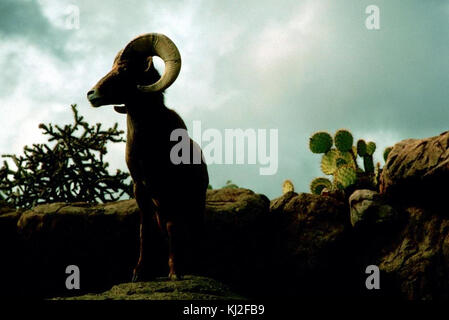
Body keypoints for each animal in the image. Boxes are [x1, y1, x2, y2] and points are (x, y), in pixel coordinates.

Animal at [86, 33, 209, 282]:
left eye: (124, 69)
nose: (91, 94)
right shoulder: (141, 190)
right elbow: (146, 230)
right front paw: (140, 273)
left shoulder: (169, 191)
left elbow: (173, 227)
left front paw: (175, 272)